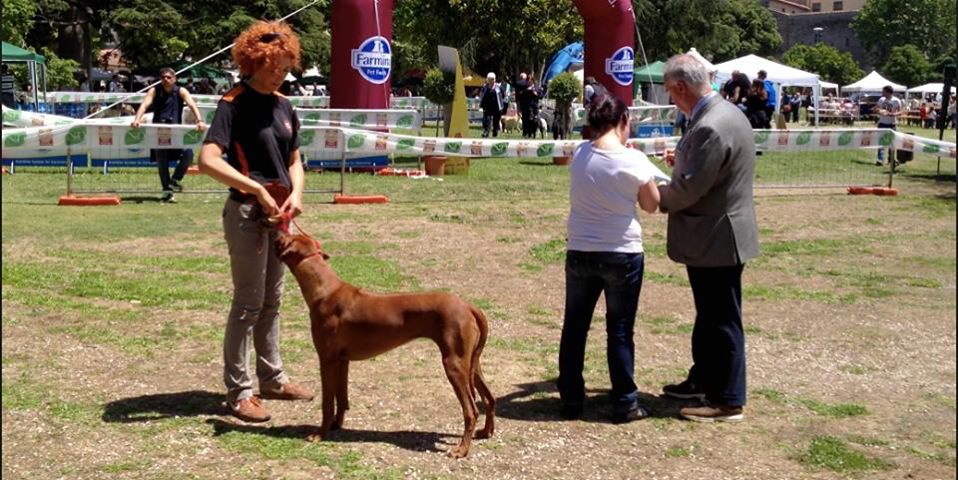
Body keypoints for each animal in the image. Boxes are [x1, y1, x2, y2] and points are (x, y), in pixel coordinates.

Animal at [272, 232, 492, 458]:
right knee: (489, 399)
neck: (325, 290)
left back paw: (462, 450)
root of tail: (468, 305)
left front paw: (320, 434)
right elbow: (341, 399)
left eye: (287, 236)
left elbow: (327, 403)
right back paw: (486, 432)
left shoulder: (327, 360)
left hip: (454, 364)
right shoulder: (342, 360)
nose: (276, 230)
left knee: (471, 410)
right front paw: (336, 425)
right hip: (470, 363)